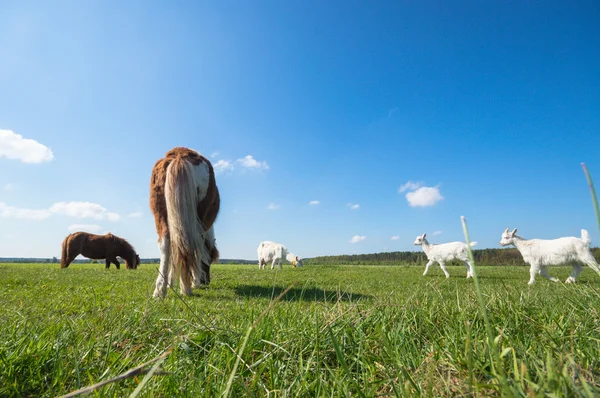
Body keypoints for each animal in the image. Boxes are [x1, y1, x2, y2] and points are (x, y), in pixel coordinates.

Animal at [149, 148, 220, 296]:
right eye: (210, 260)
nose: (206, 281)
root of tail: (180, 155)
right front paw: (194, 282)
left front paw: (169, 283)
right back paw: (187, 287)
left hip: (161, 215)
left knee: (167, 244)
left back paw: (160, 290)